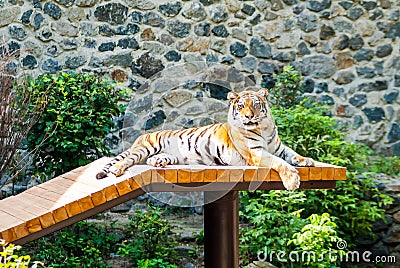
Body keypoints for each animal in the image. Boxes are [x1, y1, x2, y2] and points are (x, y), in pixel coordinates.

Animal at [95, 88, 314, 191]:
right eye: (241, 106)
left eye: (255, 104)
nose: (248, 116)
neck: (264, 127)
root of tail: (142, 135)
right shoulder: (257, 153)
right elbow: (281, 163)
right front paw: (292, 181)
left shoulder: (278, 147)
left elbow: (292, 154)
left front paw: (307, 161)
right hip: (146, 147)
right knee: (127, 159)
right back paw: (117, 169)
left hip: (168, 155)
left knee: (151, 160)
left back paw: (158, 162)